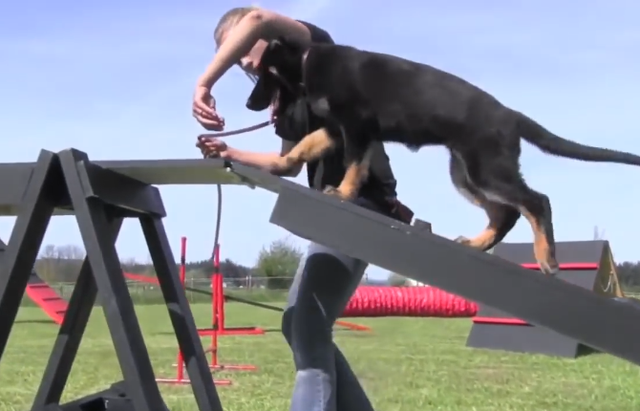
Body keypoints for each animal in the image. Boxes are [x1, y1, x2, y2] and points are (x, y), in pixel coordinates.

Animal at [246, 38, 640, 276]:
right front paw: (281, 164)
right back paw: (479, 244)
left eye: (261, 72)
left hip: (486, 169)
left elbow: (354, 167)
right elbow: (305, 145)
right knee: (506, 213)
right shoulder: (336, 129)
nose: (249, 103)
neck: (309, 61)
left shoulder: (357, 127)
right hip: (465, 173)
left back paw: (547, 258)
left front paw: (342, 193)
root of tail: (511, 116)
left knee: (536, 201)